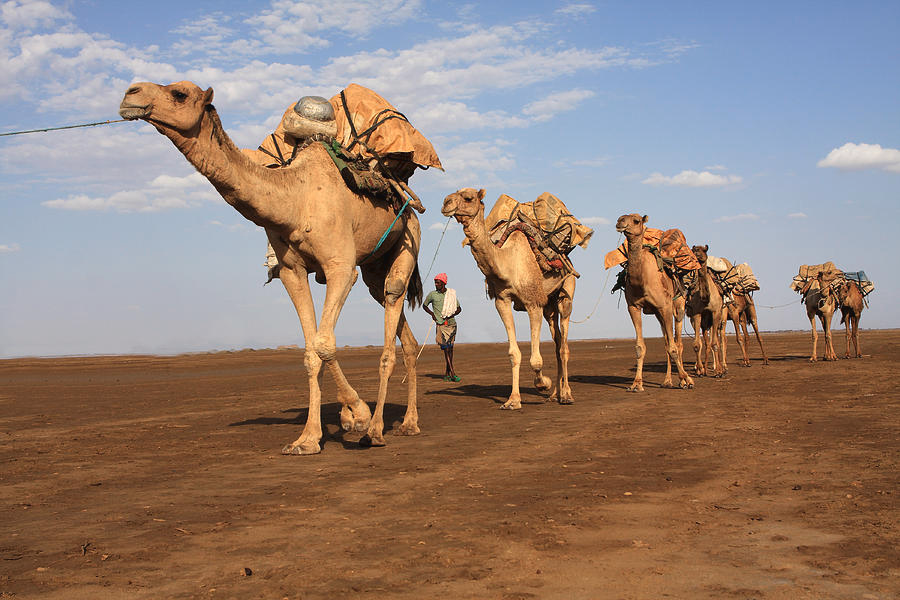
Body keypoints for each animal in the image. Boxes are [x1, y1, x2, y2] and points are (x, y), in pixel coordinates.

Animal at [120, 81, 426, 454]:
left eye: (180, 93)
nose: (130, 93)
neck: (295, 198)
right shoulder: (292, 272)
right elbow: (310, 351)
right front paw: (308, 439)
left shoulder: (340, 266)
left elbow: (325, 343)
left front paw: (358, 415)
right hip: (373, 268)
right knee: (403, 335)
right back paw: (407, 423)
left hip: (408, 238)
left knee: (391, 319)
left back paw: (380, 429)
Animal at [442, 190, 576, 410]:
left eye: (469, 198)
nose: (446, 203)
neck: (508, 262)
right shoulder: (502, 301)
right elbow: (514, 353)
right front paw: (513, 400)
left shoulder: (533, 302)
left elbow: (536, 360)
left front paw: (543, 384)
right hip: (549, 304)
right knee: (557, 342)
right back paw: (555, 394)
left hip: (566, 292)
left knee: (564, 346)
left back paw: (566, 395)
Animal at [616, 213, 692, 392]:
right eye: (621, 217)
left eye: (636, 220)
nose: (620, 222)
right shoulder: (634, 307)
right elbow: (640, 347)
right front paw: (636, 384)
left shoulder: (665, 306)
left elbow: (673, 347)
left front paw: (686, 379)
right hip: (658, 314)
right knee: (667, 342)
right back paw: (667, 381)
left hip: (678, 307)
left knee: (678, 343)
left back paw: (682, 380)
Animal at [684, 244, 728, 376]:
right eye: (693, 250)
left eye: (704, 250)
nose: (696, 256)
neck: (706, 300)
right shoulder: (696, 314)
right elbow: (697, 344)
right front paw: (699, 370)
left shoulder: (715, 312)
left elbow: (715, 343)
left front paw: (718, 371)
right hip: (704, 323)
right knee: (707, 343)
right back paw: (705, 368)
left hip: (720, 318)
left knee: (719, 340)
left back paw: (721, 367)